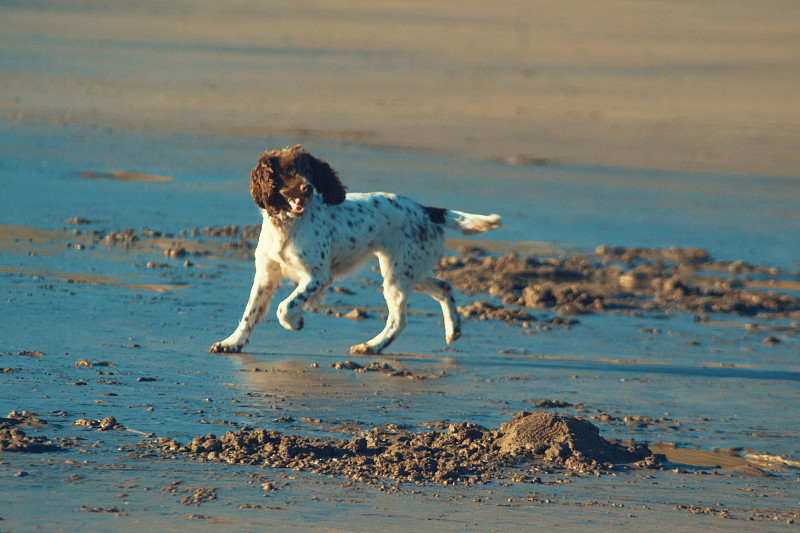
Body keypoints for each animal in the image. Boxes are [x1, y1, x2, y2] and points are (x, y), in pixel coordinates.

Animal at [212, 143, 500, 356]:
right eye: (288, 171)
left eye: (310, 172)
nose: (308, 188)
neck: (287, 225)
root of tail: (427, 210)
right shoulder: (265, 275)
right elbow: (249, 313)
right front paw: (232, 343)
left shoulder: (318, 277)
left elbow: (285, 306)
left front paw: (296, 321)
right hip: (410, 271)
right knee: (444, 286)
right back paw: (453, 330)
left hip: (398, 275)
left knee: (398, 320)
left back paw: (371, 347)